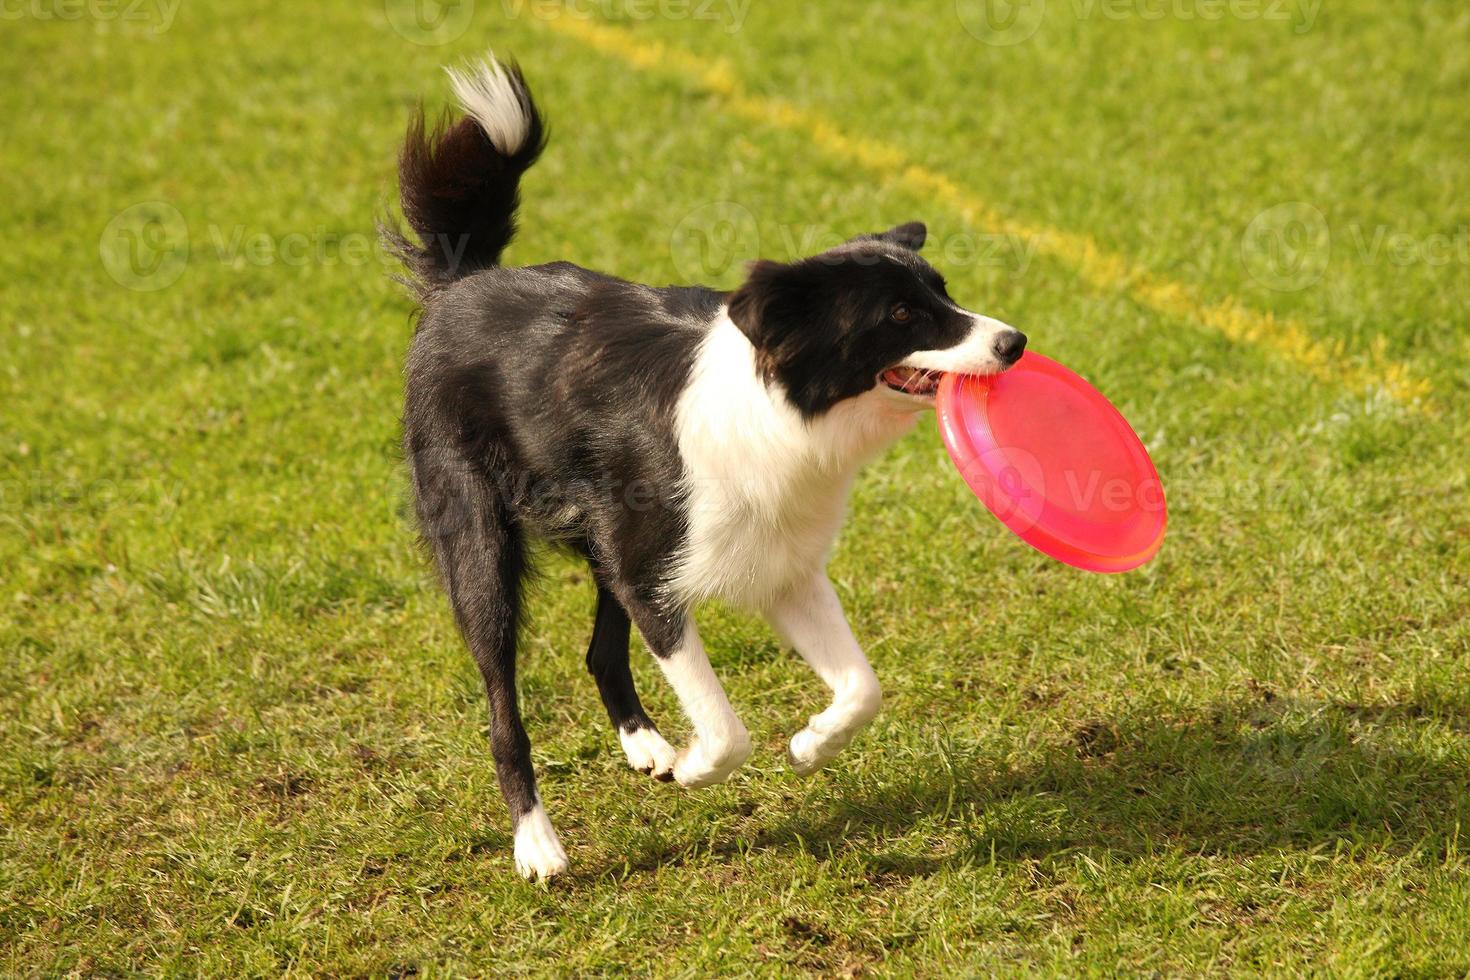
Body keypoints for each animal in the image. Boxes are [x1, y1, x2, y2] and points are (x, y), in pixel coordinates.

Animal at [385, 55, 1023, 881]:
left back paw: (646, 746)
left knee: (600, 652)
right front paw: (699, 766)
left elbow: (864, 687)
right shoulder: (653, 579)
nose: (1015, 342)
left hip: (606, 537)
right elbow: (726, 729)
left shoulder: (780, 566)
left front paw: (810, 744)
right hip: (482, 542)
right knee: (503, 707)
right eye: (902, 316)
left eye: (944, 292)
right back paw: (538, 844)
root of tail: (463, 284)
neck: (782, 410)